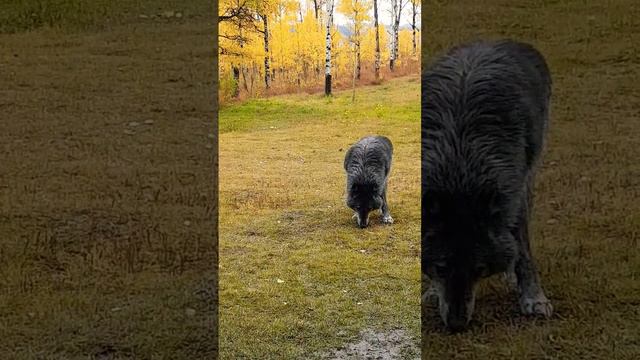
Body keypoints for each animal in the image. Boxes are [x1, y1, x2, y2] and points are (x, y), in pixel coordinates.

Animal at [422, 40, 552, 332]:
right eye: (441, 268)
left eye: (479, 270)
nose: (457, 325)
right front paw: (433, 291)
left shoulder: (515, 196)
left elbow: (523, 252)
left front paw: (533, 297)